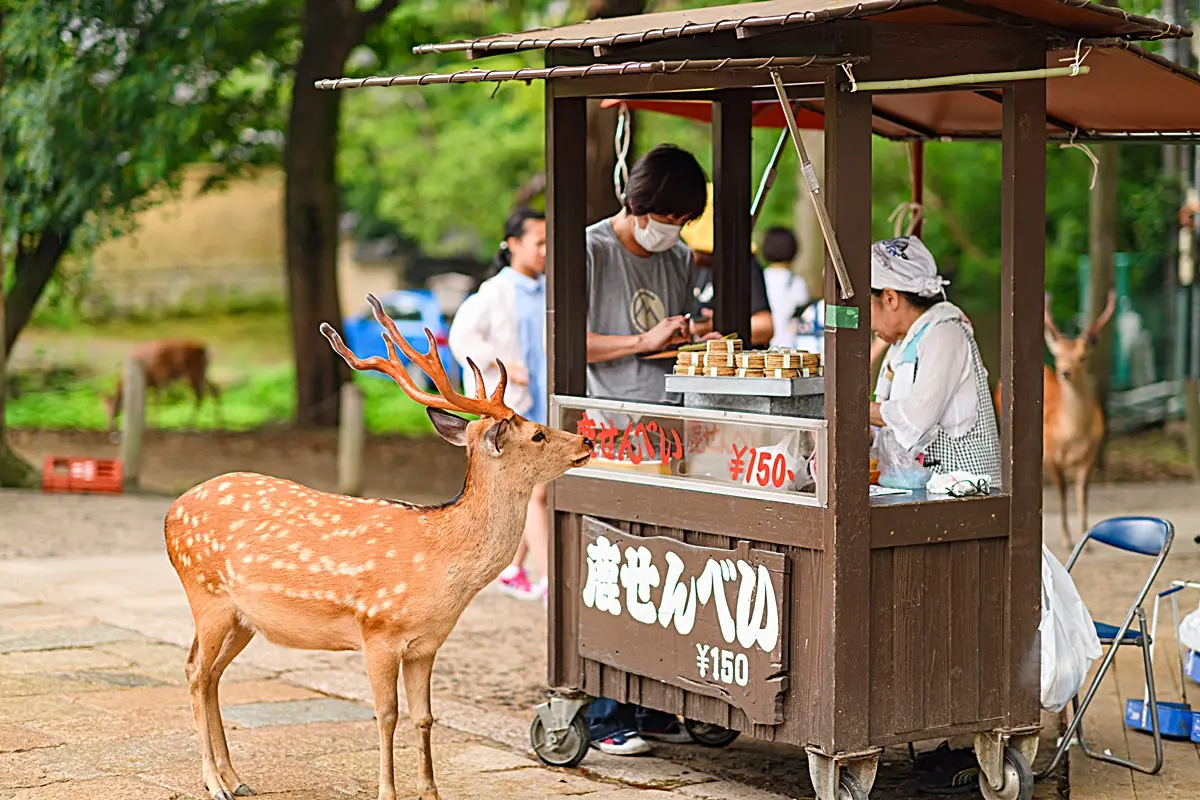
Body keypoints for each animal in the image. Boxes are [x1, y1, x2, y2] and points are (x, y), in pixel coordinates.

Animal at [164, 293, 593, 800]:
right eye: (538, 433)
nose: (586, 439)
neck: (442, 568)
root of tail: (171, 512)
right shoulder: (378, 631)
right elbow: (386, 715)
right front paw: (388, 791)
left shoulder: (427, 644)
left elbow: (425, 717)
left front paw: (431, 792)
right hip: (205, 594)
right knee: (195, 672)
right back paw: (214, 781)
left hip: (243, 618)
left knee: (212, 674)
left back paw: (236, 778)